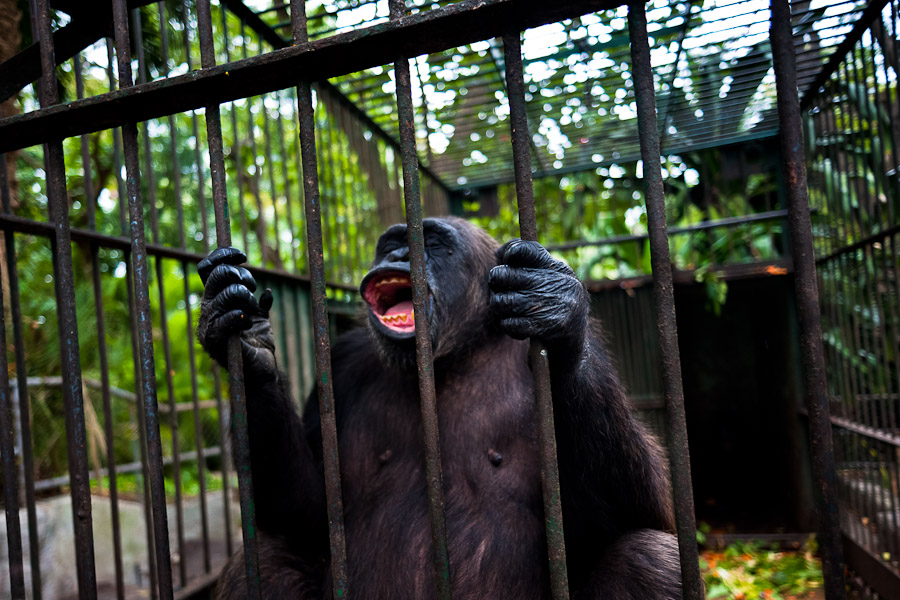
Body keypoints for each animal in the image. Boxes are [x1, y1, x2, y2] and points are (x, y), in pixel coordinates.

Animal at [199, 217, 684, 600]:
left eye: (430, 243)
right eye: (391, 243)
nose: (398, 255)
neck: (452, 357)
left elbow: (635, 512)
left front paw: (554, 306)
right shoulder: (339, 364)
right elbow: (309, 511)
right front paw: (247, 339)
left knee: (646, 559)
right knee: (266, 560)